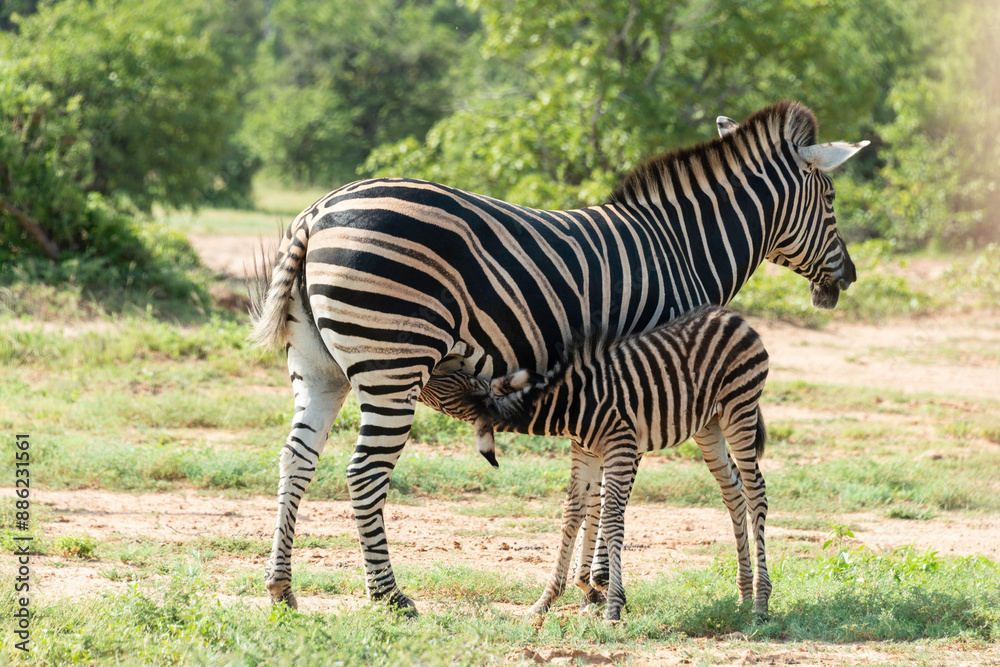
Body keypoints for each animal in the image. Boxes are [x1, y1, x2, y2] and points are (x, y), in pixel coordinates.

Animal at [249, 101, 867, 613]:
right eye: (832, 201)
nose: (851, 277)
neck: (683, 250)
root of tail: (316, 212)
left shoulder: (612, 384)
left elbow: (593, 488)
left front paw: (588, 585)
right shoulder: (649, 370)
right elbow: (612, 491)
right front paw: (601, 584)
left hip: (321, 369)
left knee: (295, 460)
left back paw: (282, 589)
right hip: (392, 364)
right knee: (364, 474)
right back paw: (389, 597)